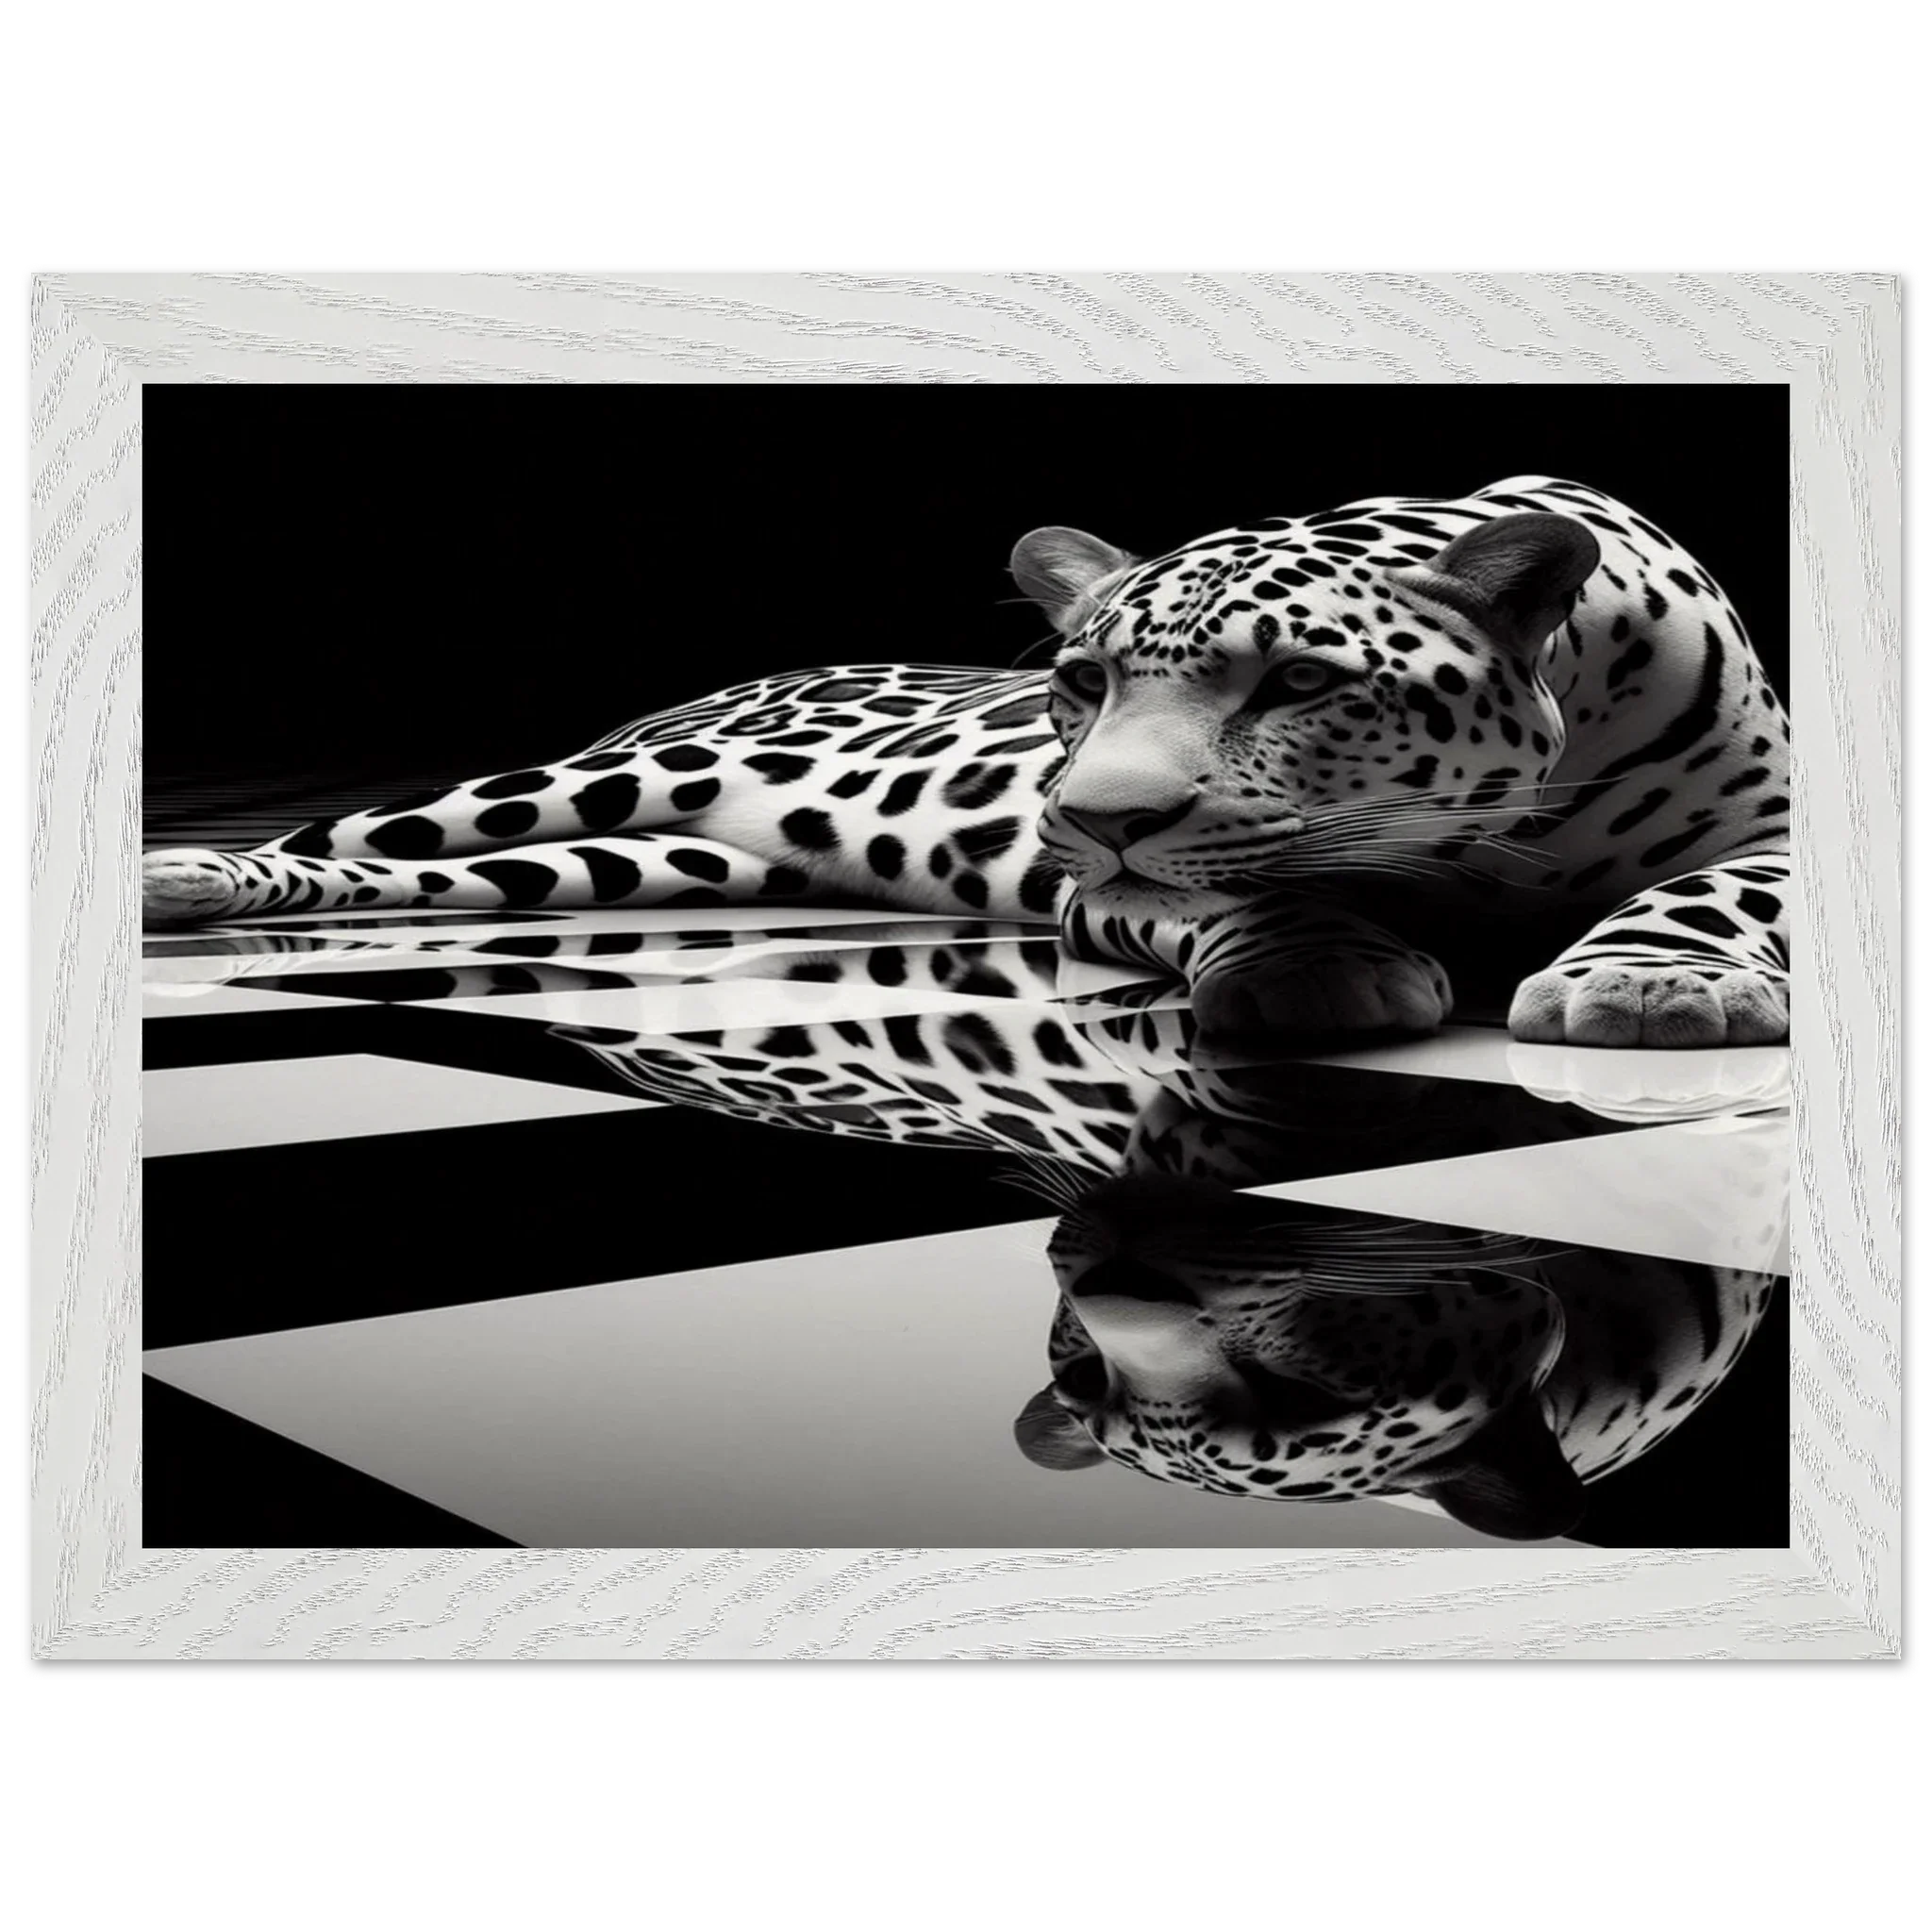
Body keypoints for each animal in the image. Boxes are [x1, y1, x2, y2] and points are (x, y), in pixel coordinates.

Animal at [142, 476, 1791, 1048]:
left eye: (1302, 683)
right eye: (1082, 683)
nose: (1090, 814)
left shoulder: (1782, 831)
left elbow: (1718, 893)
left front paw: (1651, 984)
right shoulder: (1107, 892)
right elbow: (1246, 891)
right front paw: (1319, 969)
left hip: (635, 860)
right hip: (587, 787)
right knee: (360, 831)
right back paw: (189, 878)